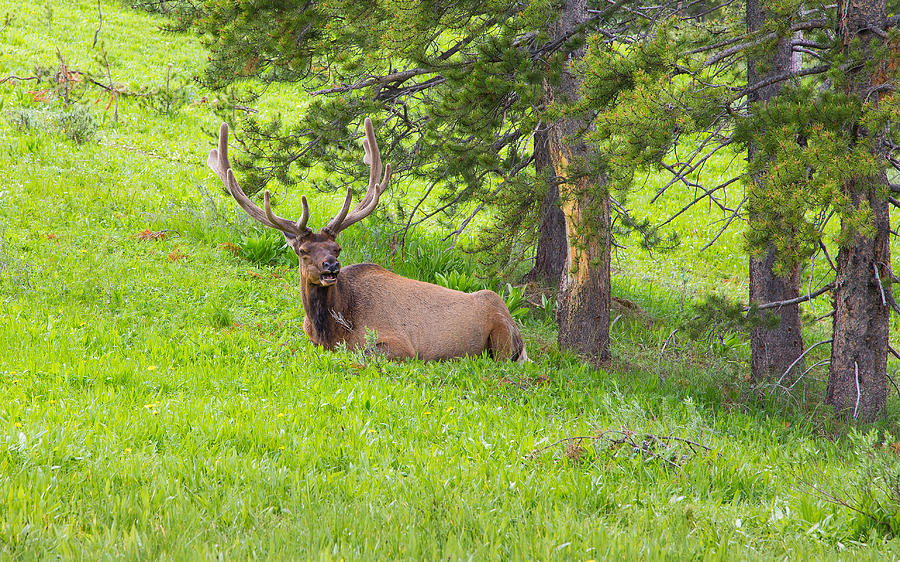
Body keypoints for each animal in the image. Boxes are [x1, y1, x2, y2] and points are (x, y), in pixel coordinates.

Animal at [206, 120, 528, 360]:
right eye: (303, 251)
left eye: (337, 248)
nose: (331, 267)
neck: (331, 330)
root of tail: (518, 333)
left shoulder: (400, 345)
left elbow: (364, 353)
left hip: (501, 332)